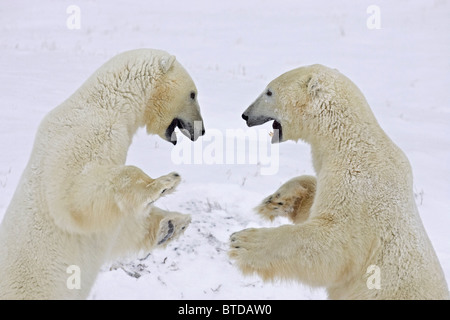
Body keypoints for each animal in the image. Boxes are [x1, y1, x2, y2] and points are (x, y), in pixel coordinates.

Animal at [0, 48, 206, 298]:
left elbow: (119, 226)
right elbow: (75, 195)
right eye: (193, 94)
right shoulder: (82, 136)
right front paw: (165, 182)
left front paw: (173, 224)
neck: (107, 103)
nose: (202, 130)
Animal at [230, 63, 448, 298]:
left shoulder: (358, 186)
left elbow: (334, 244)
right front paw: (278, 200)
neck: (349, 139)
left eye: (269, 92)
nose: (245, 115)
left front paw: (243, 242)